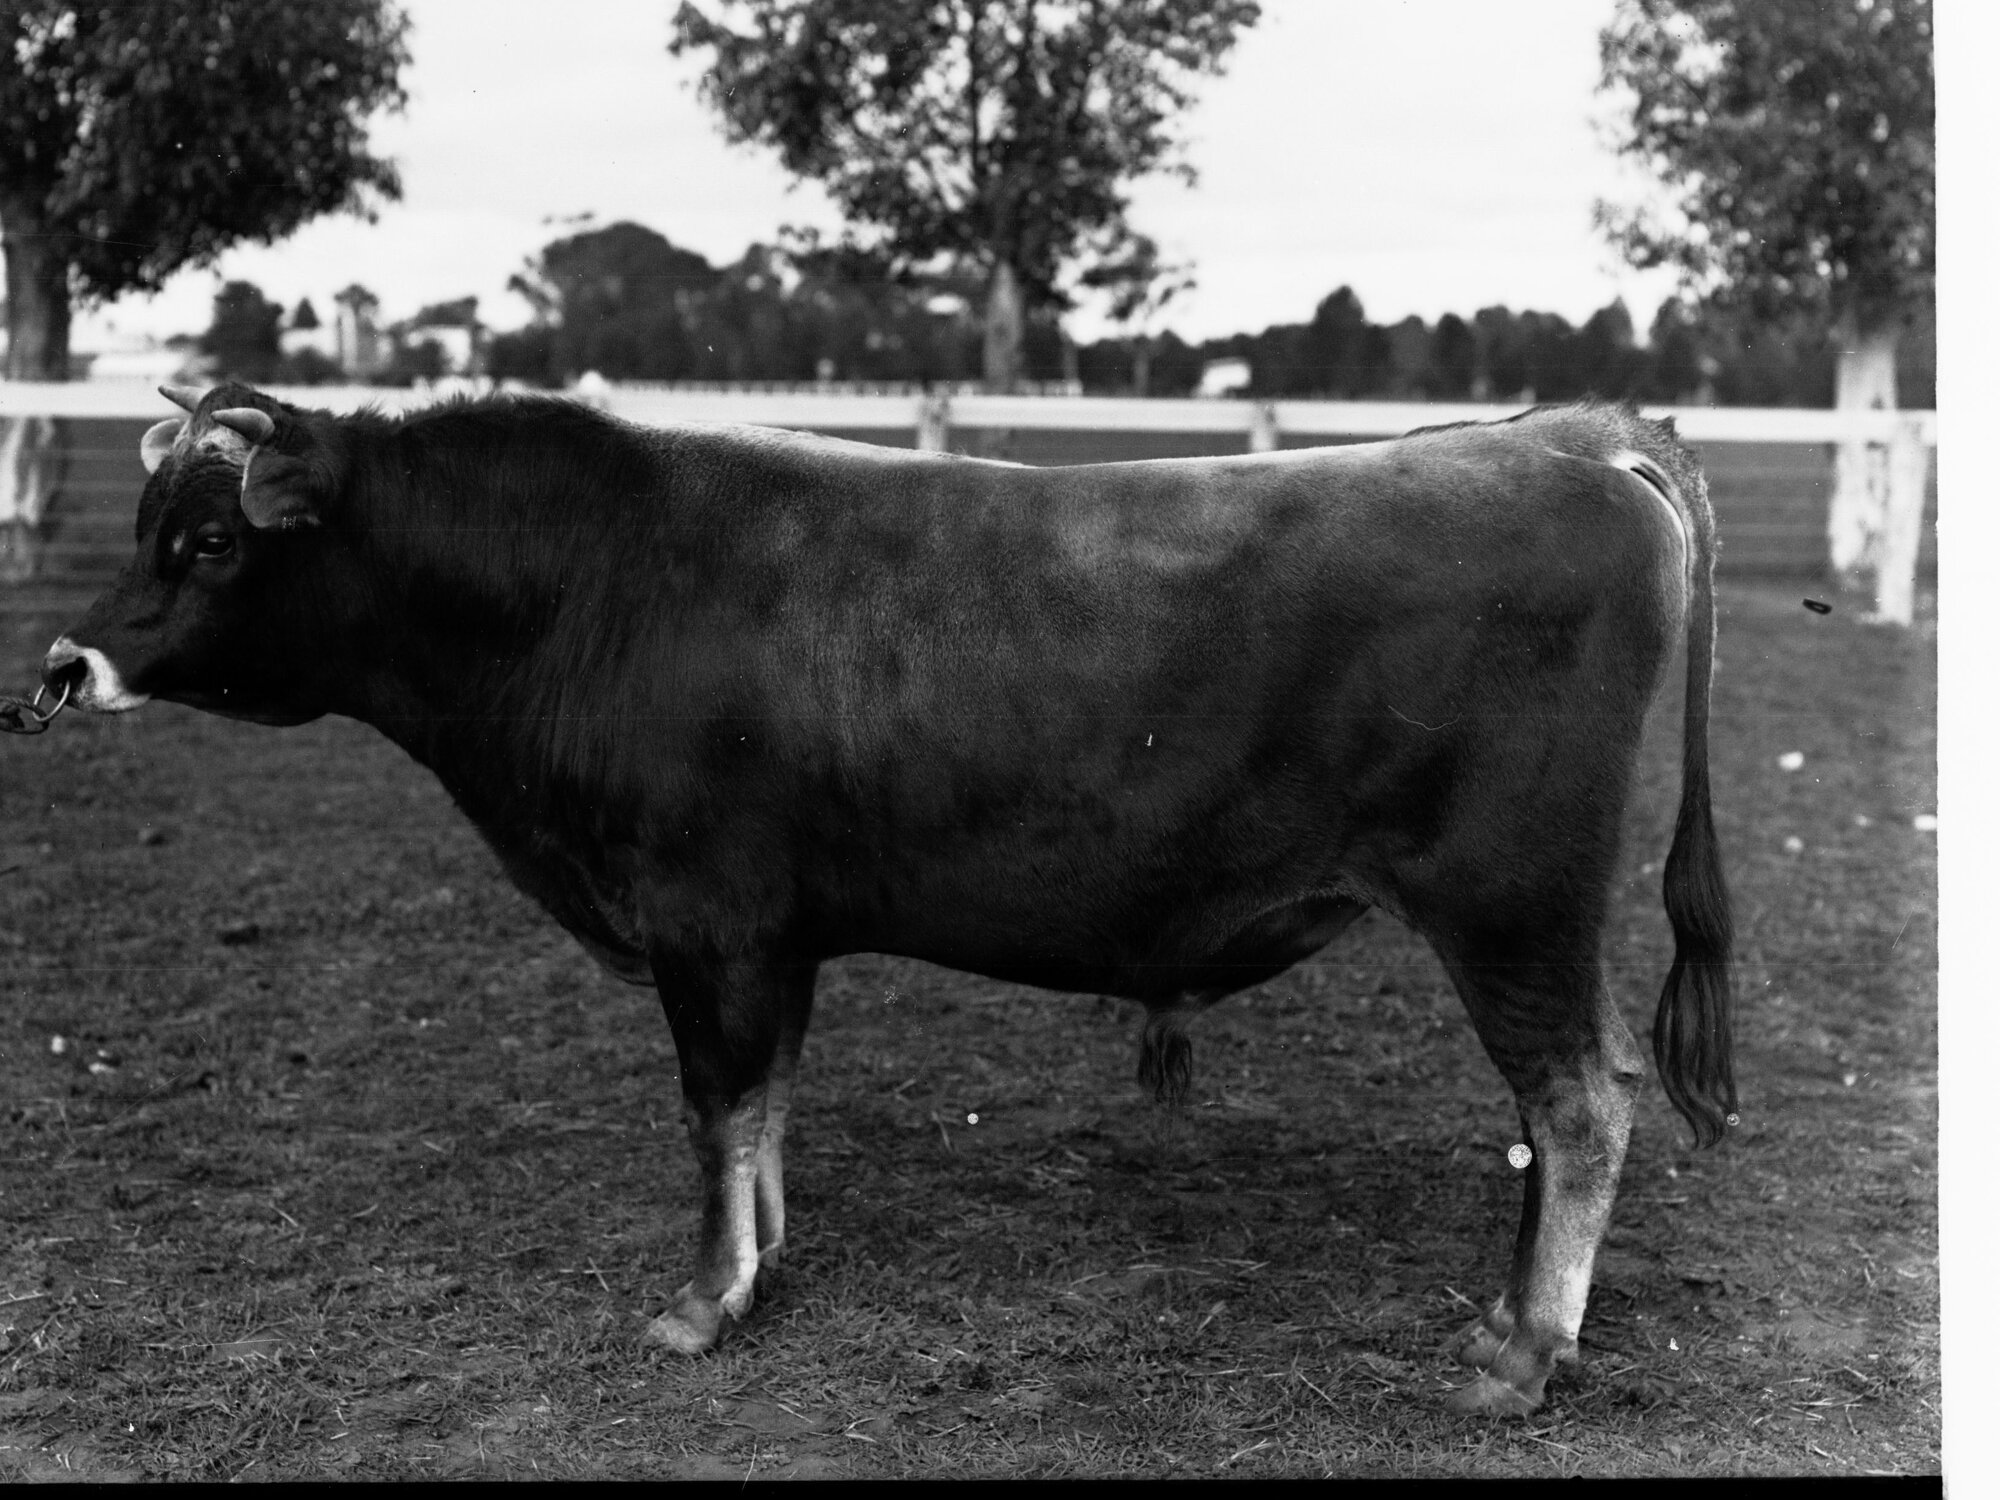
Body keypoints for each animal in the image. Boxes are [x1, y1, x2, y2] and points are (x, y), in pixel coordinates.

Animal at [44, 383, 1734, 1416]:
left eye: (209, 539)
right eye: (145, 530)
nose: (63, 663)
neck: (594, 586)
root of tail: (1573, 439)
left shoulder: (705, 923)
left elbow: (718, 1107)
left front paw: (703, 1301)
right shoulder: (769, 938)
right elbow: (768, 1103)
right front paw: (768, 1255)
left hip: (1511, 902)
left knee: (1583, 1103)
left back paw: (1525, 1346)